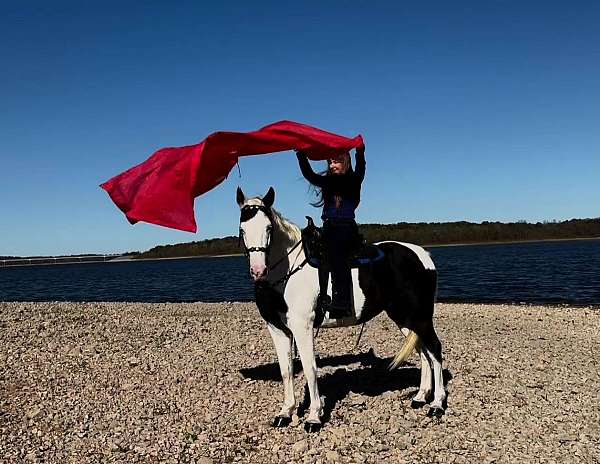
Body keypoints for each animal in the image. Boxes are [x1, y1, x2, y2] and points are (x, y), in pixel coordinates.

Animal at [237, 186, 448, 432]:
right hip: (404, 317)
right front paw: (285, 413)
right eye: (242, 229)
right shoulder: (278, 329)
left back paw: (437, 404)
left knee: (434, 349)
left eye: (269, 228)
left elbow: (309, 368)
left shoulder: (302, 326)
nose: (258, 270)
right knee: (423, 351)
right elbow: (286, 370)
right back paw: (421, 397)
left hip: (420, 316)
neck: (288, 273)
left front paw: (314, 417)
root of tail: (423, 255)